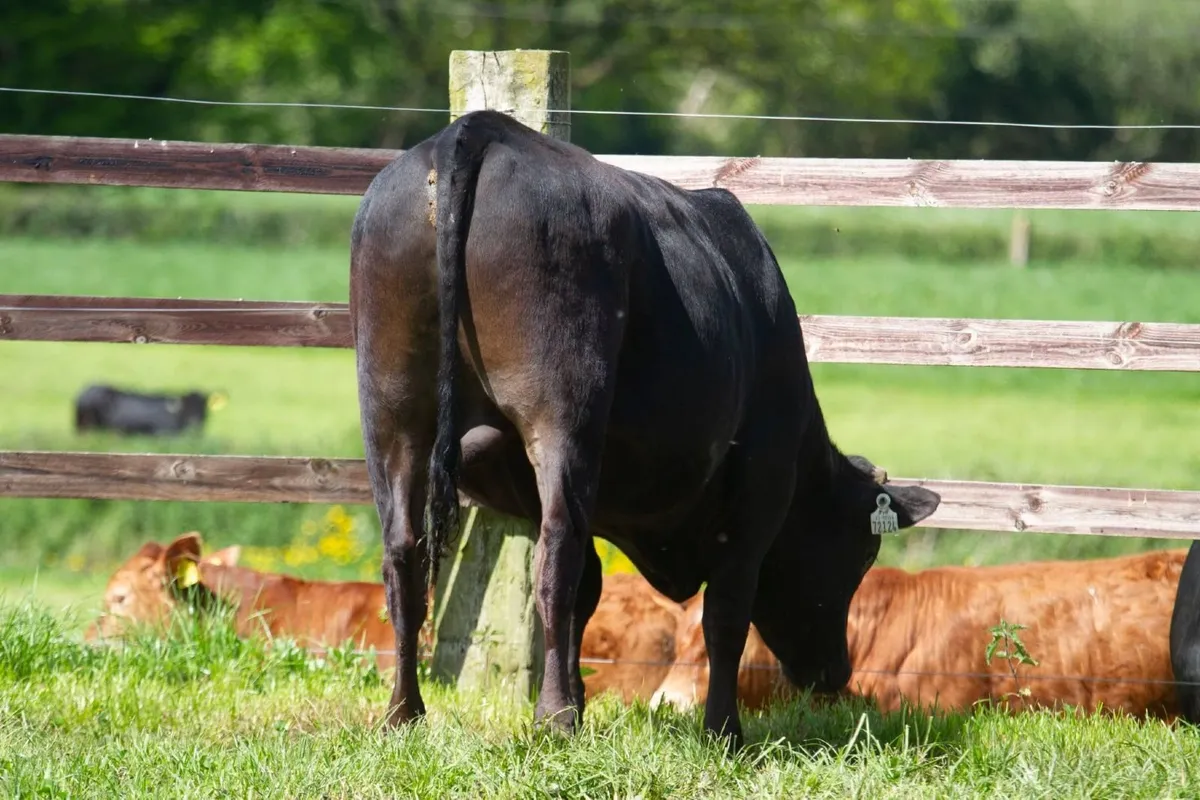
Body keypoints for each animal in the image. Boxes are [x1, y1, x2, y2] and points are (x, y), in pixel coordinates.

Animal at [348, 108, 941, 745]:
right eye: (864, 553)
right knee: (554, 558)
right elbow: (725, 611)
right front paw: (723, 730)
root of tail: (477, 129)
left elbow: (590, 590)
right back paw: (552, 715)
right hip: (562, 407)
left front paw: (584, 699)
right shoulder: (761, 486)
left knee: (404, 557)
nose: (836, 672)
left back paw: (404, 712)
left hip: (390, 411)